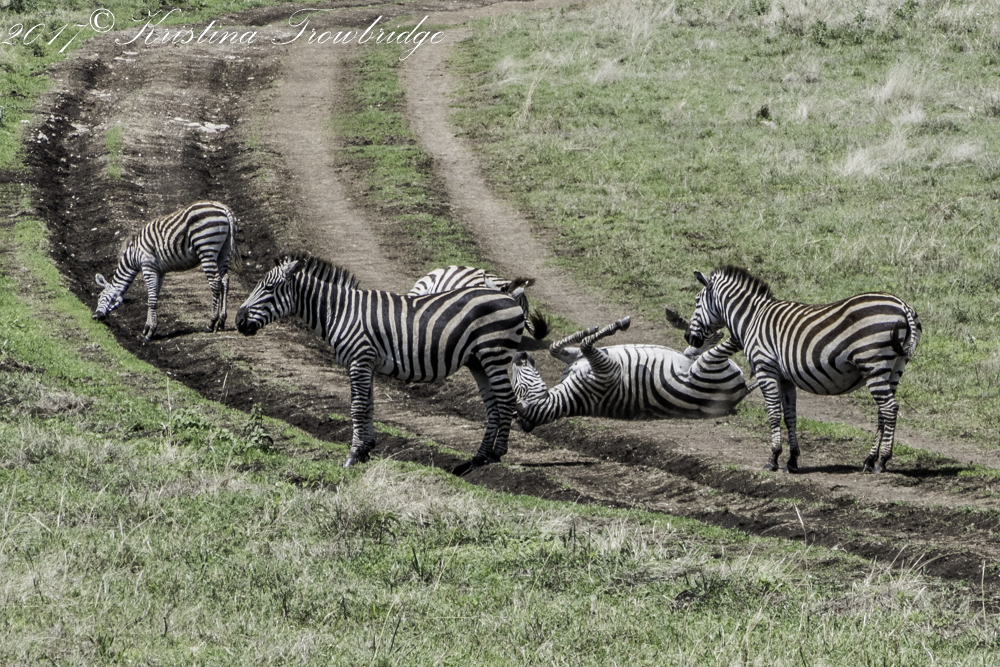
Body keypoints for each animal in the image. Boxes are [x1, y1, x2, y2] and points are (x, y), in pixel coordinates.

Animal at [92, 200, 239, 342]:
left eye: (100, 296)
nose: (95, 317)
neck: (134, 255)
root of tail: (222, 207)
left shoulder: (148, 267)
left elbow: (151, 299)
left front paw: (149, 333)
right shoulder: (160, 271)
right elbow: (154, 296)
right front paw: (146, 329)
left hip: (206, 248)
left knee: (215, 282)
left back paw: (211, 323)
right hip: (223, 251)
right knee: (225, 280)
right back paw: (221, 321)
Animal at [234, 255, 527, 468]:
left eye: (269, 288)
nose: (238, 321)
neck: (339, 311)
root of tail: (508, 296)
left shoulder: (359, 359)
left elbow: (357, 407)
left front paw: (353, 455)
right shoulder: (367, 362)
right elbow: (370, 405)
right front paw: (366, 449)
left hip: (494, 353)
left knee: (506, 400)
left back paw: (495, 454)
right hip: (477, 360)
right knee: (492, 405)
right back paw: (478, 458)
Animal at [512, 308, 754, 432]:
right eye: (519, 389)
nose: (518, 355)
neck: (569, 397)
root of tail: (741, 390)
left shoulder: (579, 359)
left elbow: (556, 346)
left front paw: (590, 328)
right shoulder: (607, 371)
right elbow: (586, 344)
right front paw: (618, 325)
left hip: (696, 357)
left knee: (701, 343)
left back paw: (678, 318)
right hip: (706, 365)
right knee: (731, 340)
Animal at [683, 265, 921, 474]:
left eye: (696, 301)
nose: (688, 337)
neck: (753, 318)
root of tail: (903, 306)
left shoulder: (765, 369)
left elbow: (773, 413)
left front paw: (773, 458)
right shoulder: (785, 378)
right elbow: (790, 416)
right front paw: (792, 460)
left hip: (873, 363)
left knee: (889, 408)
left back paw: (882, 461)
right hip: (895, 367)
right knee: (883, 411)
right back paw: (869, 460)